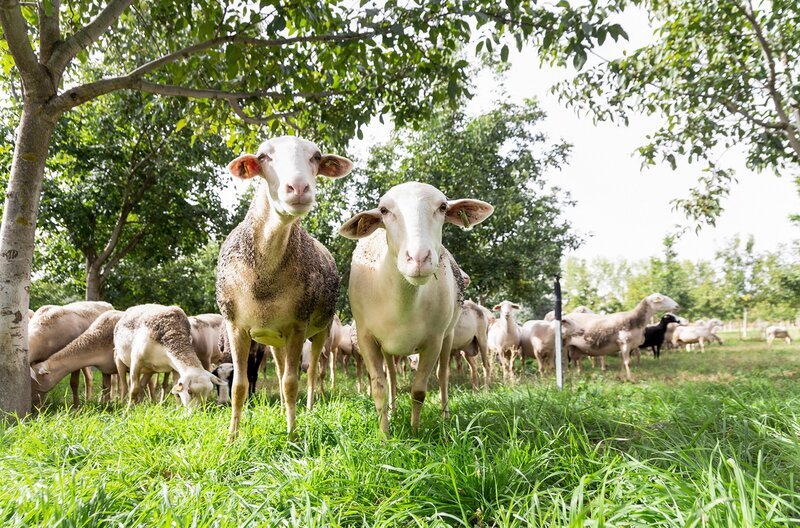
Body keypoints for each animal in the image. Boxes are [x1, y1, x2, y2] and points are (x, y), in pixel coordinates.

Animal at [217, 136, 353, 439]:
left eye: (316, 157)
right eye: (263, 157)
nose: (299, 188)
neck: (264, 280)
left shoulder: (297, 325)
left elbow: (292, 383)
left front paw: (292, 436)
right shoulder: (236, 326)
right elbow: (240, 386)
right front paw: (231, 438)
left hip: (320, 331)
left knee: (312, 373)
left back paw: (310, 409)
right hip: (274, 339)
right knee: (279, 373)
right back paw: (280, 411)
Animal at [339, 181, 493, 435]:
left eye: (443, 207)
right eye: (384, 210)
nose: (419, 258)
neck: (403, 303)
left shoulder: (433, 340)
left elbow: (419, 391)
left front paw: (414, 432)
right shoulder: (366, 337)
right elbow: (379, 387)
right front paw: (384, 435)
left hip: (449, 335)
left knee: (443, 375)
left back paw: (445, 416)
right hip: (388, 347)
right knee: (392, 377)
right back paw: (393, 411)